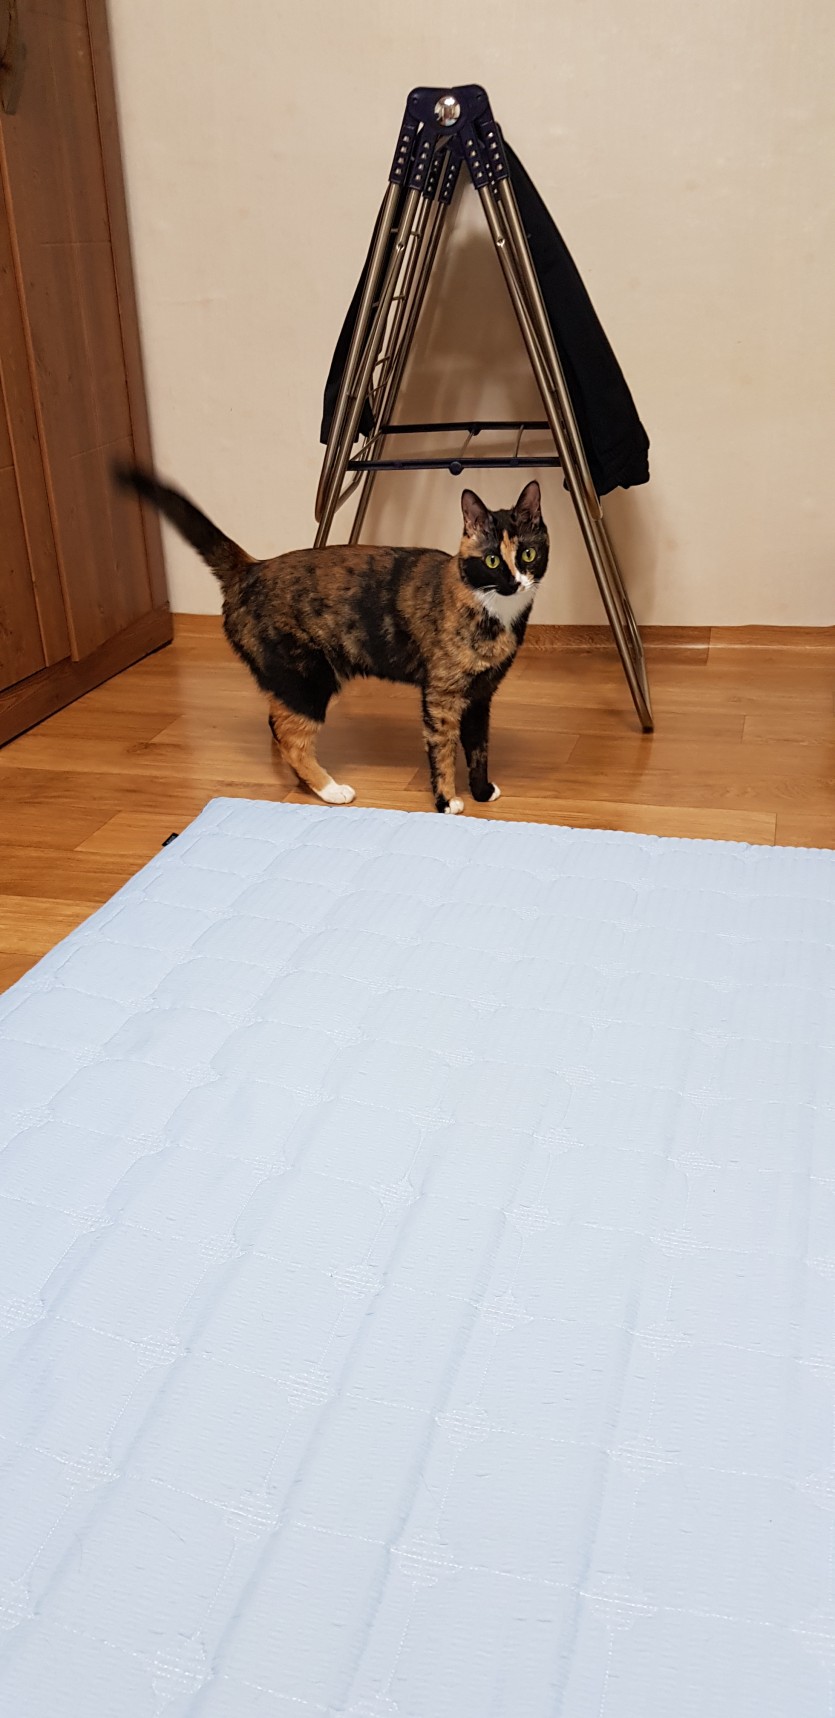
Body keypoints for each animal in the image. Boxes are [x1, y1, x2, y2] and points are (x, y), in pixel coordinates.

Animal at [114, 466, 550, 813]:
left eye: (528, 555)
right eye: (492, 560)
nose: (515, 581)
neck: (491, 608)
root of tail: (251, 569)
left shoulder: (481, 695)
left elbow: (478, 748)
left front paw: (482, 790)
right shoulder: (442, 696)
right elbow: (443, 749)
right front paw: (447, 801)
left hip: (296, 682)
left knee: (277, 724)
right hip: (309, 678)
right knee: (292, 737)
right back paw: (330, 789)